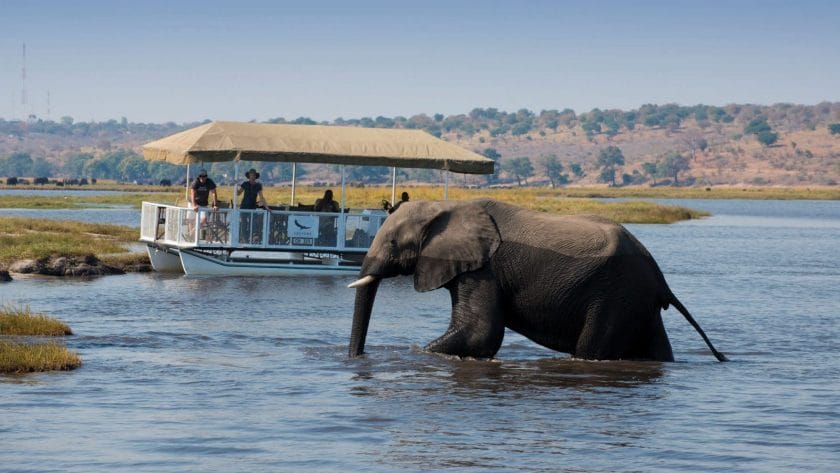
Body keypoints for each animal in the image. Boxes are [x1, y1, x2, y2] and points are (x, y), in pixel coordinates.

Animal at [348, 199, 728, 362]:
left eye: (393, 243)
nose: (356, 358)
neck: (445, 206)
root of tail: (660, 278)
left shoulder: (485, 268)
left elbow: (480, 333)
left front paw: (414, 354)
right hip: (637, 303)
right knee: (657, 350)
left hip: (614, 297)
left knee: (592, 349)